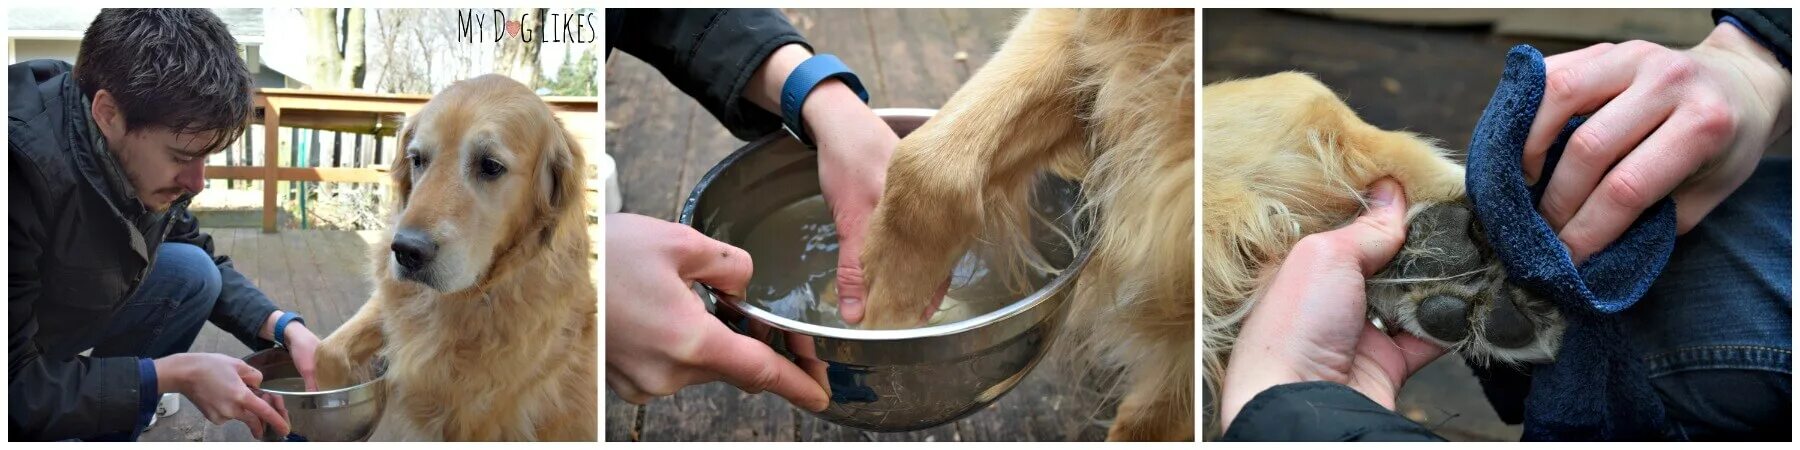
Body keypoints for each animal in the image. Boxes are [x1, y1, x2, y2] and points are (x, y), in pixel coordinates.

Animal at [309, 73, 590, 439]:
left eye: (491, 166)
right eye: (417, 159)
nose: (406, 251)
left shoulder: (478, 419)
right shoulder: (393, 299)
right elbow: (324, 351)